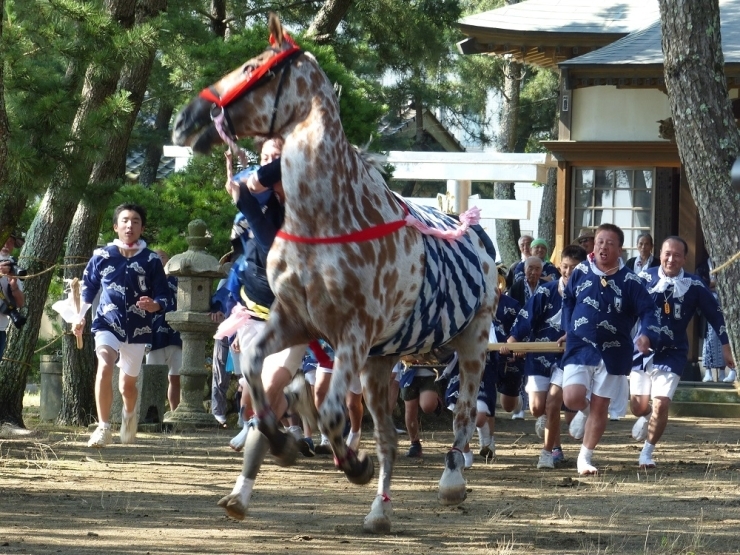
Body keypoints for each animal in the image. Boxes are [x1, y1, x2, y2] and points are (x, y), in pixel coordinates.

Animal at [171, 11, 500, 536]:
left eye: (252, 67)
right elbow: (255, 372)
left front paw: (351, 462)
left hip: (472, 340)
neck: (326, 219)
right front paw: (282, 443)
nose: (186, 119)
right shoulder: (296, 320)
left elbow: (329, 413)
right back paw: (379, 511)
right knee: (388, 437)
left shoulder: (353, 333)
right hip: (382, 363)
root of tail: (474, 231)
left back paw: (451, 481)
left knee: (464, 415)